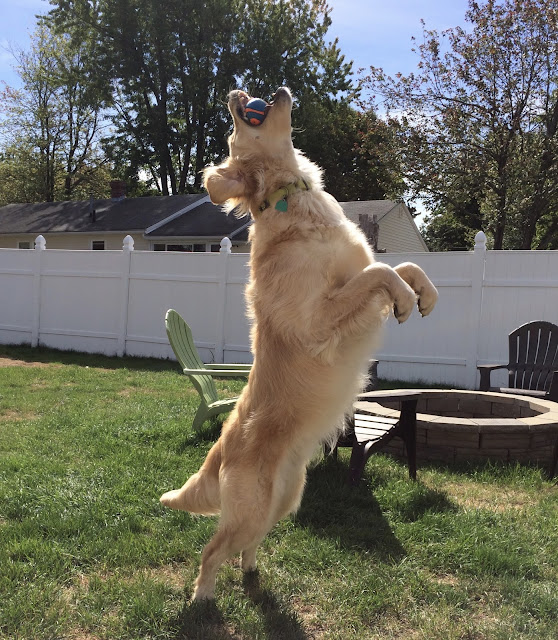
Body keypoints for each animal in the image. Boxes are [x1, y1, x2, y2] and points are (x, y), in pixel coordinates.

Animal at [160, 86, 440, 600]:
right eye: (234, 128)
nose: (234, 93)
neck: (292, 196)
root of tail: (221, 448)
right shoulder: (318, 318)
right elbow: (382, 271)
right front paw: (405, 299)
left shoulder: (354, 278)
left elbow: (401, 265)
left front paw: (423, 294)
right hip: (252, 507)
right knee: (212, 551)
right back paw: (202, 598)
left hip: (285, 499)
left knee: (246, 546)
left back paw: (253, 576)